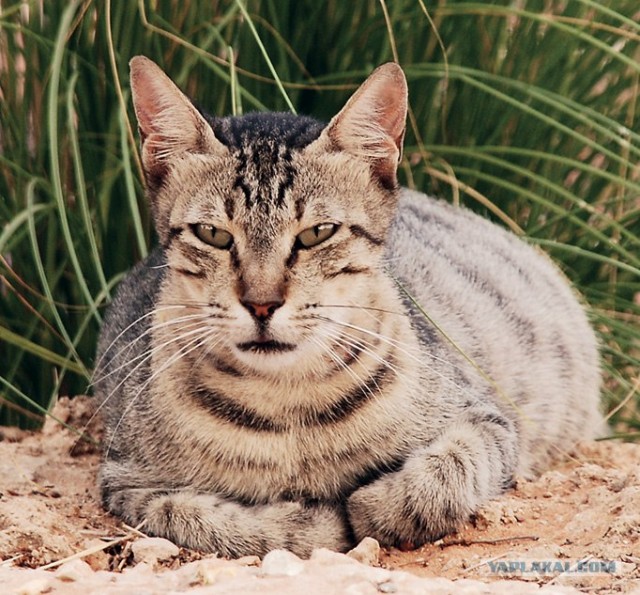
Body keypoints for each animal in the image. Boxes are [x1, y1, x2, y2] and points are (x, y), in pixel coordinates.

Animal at [95, 56, 604, 560]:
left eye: (317, 233)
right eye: (213, 234)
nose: (261, 304)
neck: (288, 407)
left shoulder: (489, 419)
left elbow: (447, 472)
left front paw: (376, 504)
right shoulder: (125, 481)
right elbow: (200, 518)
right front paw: (312, 521)